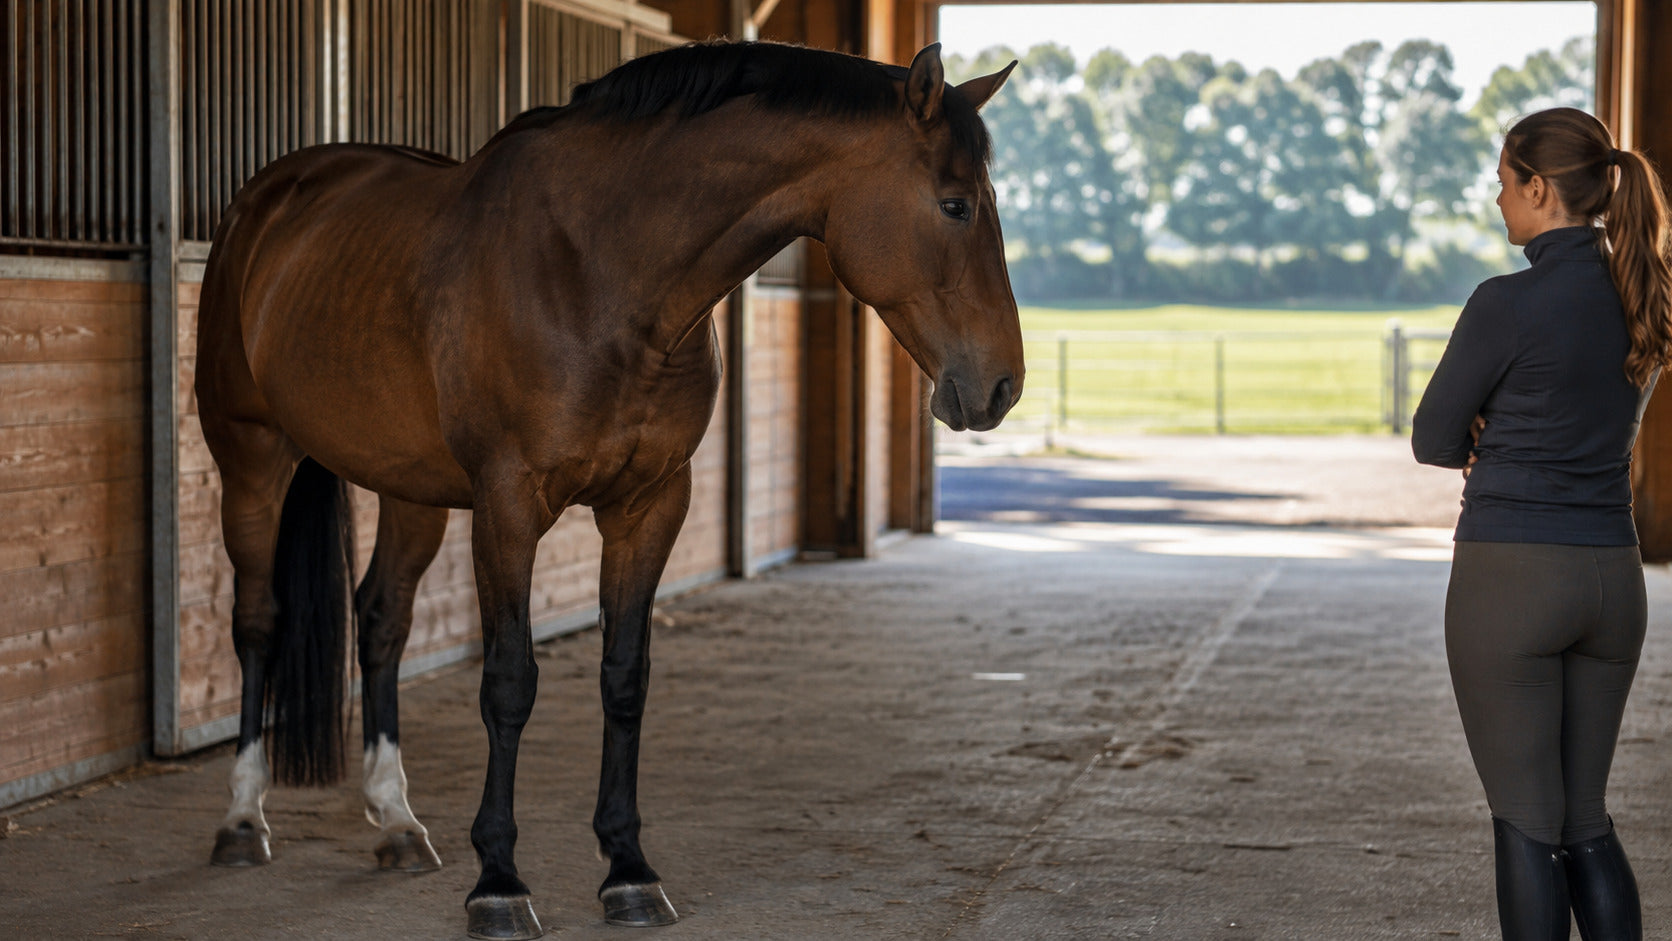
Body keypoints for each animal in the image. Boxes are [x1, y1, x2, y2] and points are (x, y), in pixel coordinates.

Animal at [194, 40, 1021, 939]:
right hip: (252, 457)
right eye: (955, 205)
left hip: (410, 488)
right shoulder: (508, 505)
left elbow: (625, 675)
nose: (1002, 385)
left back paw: (400, 823)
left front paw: (628, 869)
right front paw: (499, 882)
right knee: (258, 620)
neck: (602, 275)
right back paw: (242, 818)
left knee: (381, 620)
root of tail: (268, 200)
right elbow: (509, 681)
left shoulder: (650, 504)